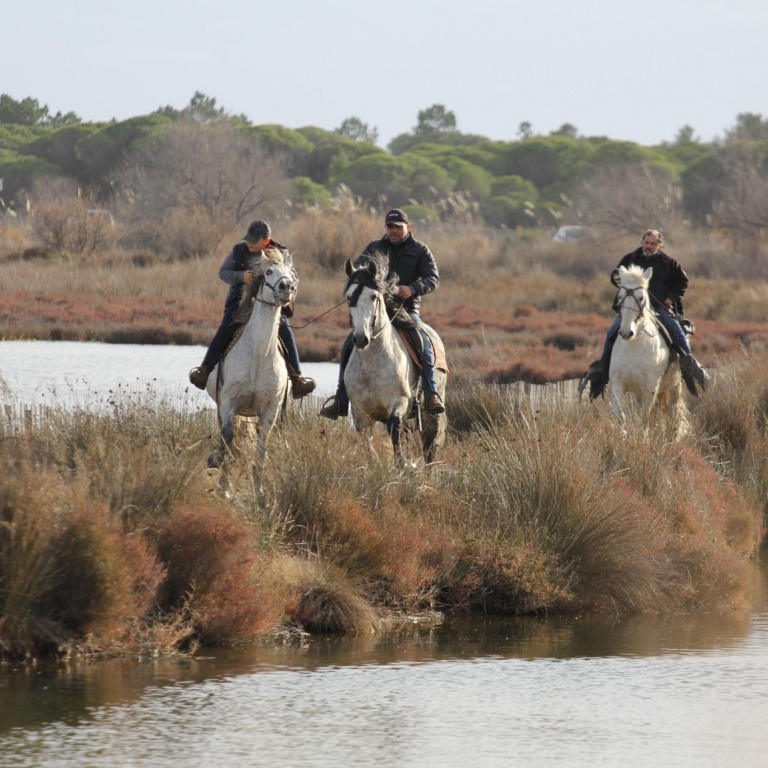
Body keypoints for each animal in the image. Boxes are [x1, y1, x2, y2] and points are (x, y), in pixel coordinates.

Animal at [205, 248, 296, 474]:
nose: (287, 287)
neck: (258, 357)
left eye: (291, 273)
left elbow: (261, 452)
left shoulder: (270, 409)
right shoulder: (228, 401)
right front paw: (217, 465)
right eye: (269, 271)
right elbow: (227, 437)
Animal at [608, 264, 689, 437]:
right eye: (619, 297)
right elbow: (620, 415)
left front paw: (644, 440)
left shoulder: (649, 388)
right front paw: (622, 436)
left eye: (641, 298)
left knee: (672, 413)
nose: (626, 333)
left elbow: (645, 418)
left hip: (674, 387)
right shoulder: (618, 384)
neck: (634, 346)